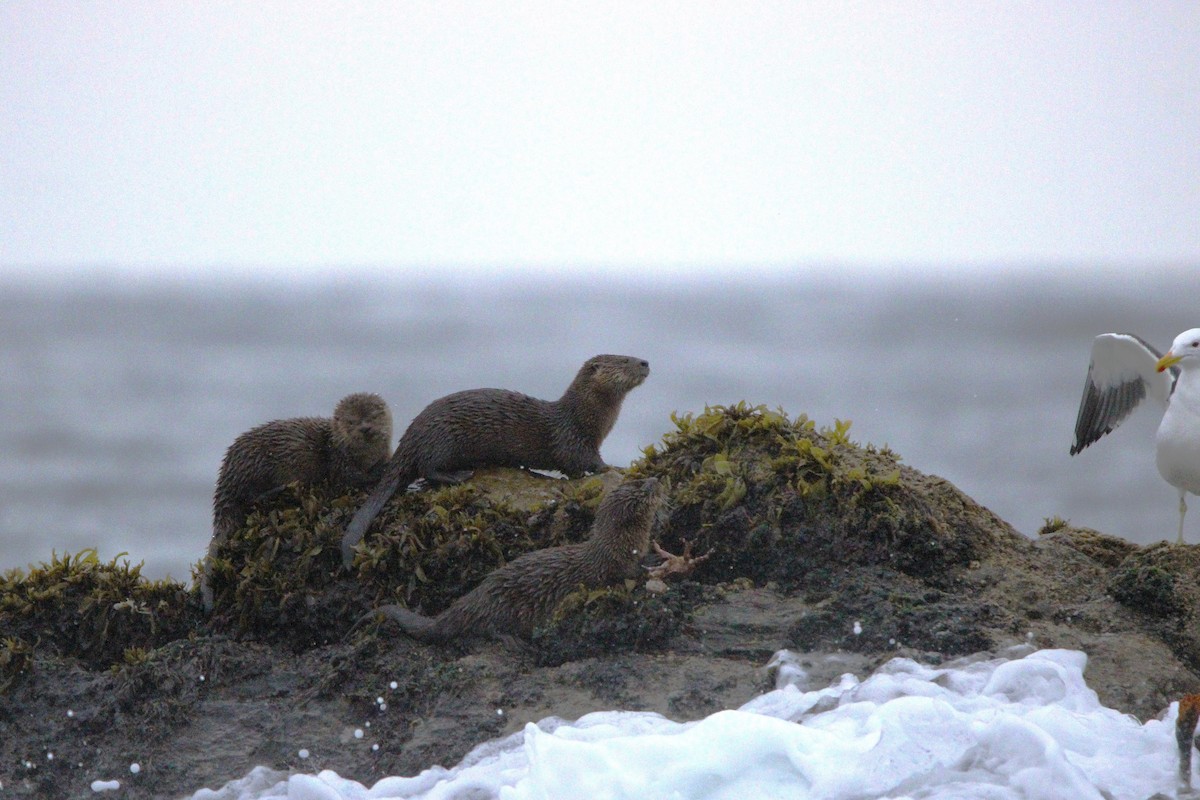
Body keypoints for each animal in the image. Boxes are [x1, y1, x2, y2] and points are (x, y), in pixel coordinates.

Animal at [201, 392, 393, 610]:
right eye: (351, 421)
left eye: (373, 416)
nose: (365, 428)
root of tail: (226, 478)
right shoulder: (339, 461)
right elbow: (351, 477)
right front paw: (381, 470)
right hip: (257, 466)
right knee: (250, 498)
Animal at [340, 354, 650, 567]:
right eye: (625, 359)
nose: (645, 362)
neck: (586, 419)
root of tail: (409, 439)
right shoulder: (573, 440)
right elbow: (584, 461)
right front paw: (613, 467)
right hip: (441, 439)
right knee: (427, 468)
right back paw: (459, 475)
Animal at [359, 476, 665, 643]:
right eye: (644, 489)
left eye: (639, 480)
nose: (656, 480)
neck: (619, 544)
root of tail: (473, 598)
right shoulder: (616, 563)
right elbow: (630, 572)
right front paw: (652, 564)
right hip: (502, 609)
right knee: (486, 628)